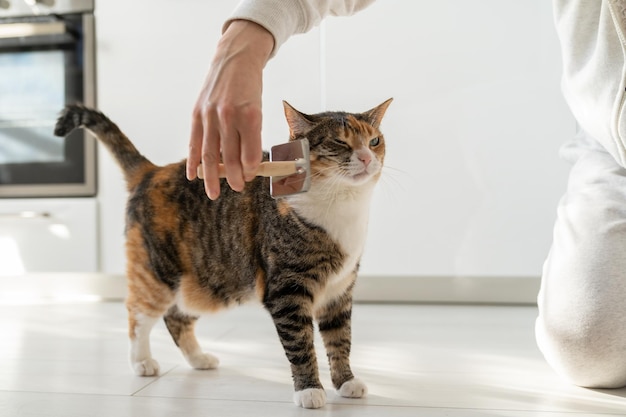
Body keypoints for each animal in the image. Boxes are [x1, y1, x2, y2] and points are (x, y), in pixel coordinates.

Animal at [54, 99, 390, 408]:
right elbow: (300, 344)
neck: (341, 204)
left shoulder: (340, 290)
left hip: (208, 279)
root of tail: (153, 171)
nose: (366, 157)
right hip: (158, 274)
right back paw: (141, 361)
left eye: (374, 141)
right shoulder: (287, 290)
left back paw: (199, 358)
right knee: (138, 313)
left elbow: (340, 338)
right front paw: (309, 390)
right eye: (340, 142)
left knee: (176, 317)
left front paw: (345, 381)